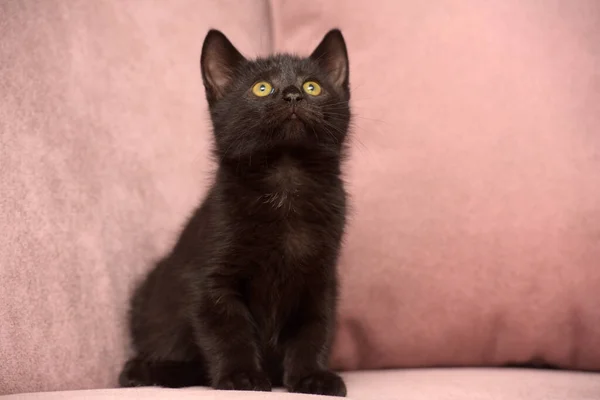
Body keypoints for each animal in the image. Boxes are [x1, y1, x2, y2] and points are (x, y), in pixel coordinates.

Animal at [119, 28, 350, 396]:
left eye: (313, 86)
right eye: (262, 88)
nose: (293, 95)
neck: (286, 180)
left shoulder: (321, 278)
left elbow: (315, 328)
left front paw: (311, 376)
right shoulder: (210, 278)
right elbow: (228, 329)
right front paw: (241, 376)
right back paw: (146, 371)